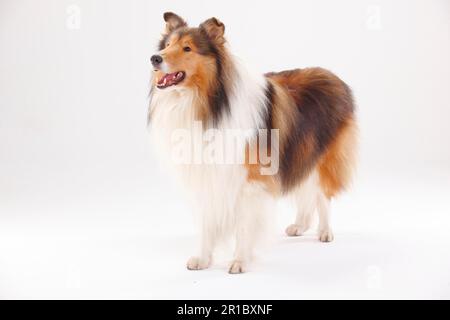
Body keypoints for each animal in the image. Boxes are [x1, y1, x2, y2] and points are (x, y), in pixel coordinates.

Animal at [149, 11, 356, 272]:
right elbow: (207, 222)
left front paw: (239, 260)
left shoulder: (250, 181)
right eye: (167, 45)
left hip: (324, 158)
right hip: (301, 151)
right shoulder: (206, 176)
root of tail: (334, 76)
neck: (207, 104)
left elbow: (244, 225)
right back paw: (300, 225)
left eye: (187, 48)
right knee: (305, 190)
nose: (154, 58)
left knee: (322, 195)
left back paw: (325, 231)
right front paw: (203, 259)